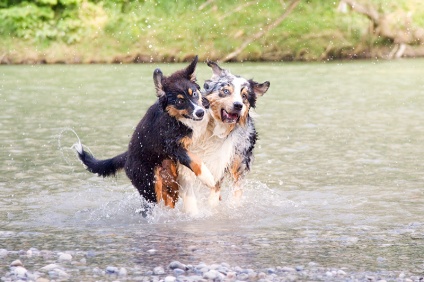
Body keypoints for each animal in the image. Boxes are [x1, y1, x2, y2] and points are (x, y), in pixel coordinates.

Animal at [73, 55, 217, 209]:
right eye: (180, 102)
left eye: (194, 93)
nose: (200, 112)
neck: (176, 119)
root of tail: (127, 156)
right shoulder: (171, 146)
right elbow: (194, 159)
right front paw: (208, 178)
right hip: (149, 187)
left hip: (169, 185)